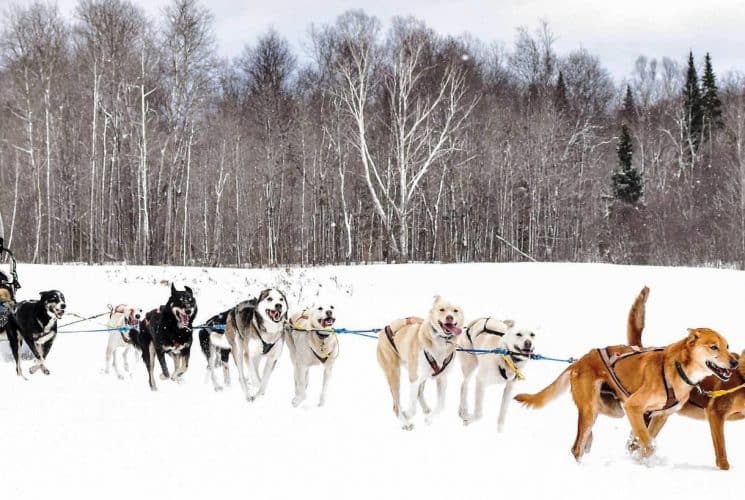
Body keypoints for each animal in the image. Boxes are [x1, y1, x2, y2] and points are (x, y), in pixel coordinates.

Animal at [374, 296, 462, 430]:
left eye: (455, 311)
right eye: (441, 309)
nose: (449, 317)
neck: (440, 344)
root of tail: (385, 329)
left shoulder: (442, 378)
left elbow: (441, 405)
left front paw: (429, 419)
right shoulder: (413, 379)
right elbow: (412, 408)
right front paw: (407, 415)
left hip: (420, 375)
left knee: (419, 393)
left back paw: (424, 408)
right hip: (394, 374)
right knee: (396, 405)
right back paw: (404, 422)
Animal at [516, 326, 736, 462]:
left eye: (727, 346)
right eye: (713, 347)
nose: (734, 363)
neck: (677, 368)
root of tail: (579, 361)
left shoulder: (660, 416)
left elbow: (644, 440)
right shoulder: (633, 407)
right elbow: (648, 443)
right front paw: (650, 460)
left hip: (610, 409)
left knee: (584, 434)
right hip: (593, 408)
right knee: (576, 446)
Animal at [628, 288, 744, 470]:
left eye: (727, 347)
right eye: (714, 347)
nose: (734, 363)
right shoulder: (715, 414)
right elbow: (722, 451)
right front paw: (724, 468)